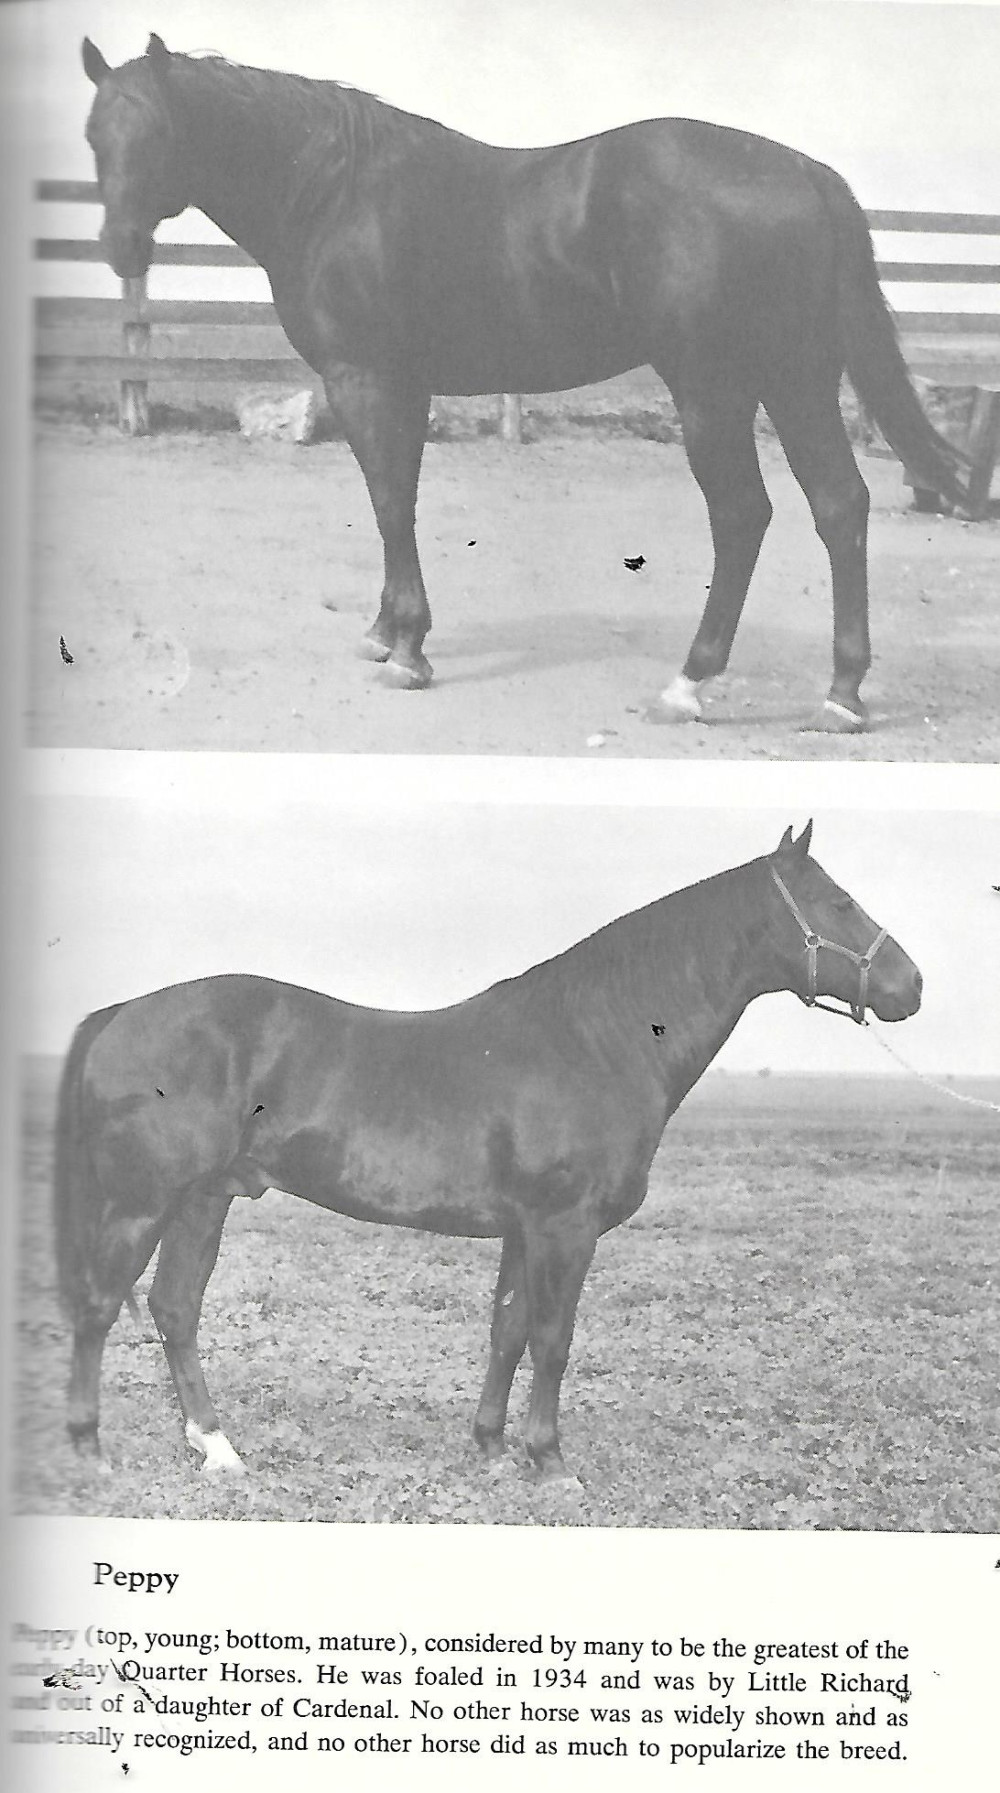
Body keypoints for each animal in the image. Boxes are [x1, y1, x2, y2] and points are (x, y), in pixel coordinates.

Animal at [54, 823, 922, 1482]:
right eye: (838, 900)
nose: (912, 985)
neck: (596, 1038)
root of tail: (120, 1011)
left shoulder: (523, 1228)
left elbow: (507, 1329)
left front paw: (493, 1447)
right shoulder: (564, 1227)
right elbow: (553, 1339)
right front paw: (553, 1462)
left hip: (203, 1199)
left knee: (174, 1308)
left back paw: (219, 1450)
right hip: (142, 1203)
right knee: (99, 1306)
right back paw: (90, 1452)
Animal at [81, 35, 968, 734]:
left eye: (159, 130)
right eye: (94, 133)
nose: (121, 248)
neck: (335, 192)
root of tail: (805, 173)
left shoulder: (367, 379)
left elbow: (389, 501)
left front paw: (407, 649)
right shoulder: (403, 386)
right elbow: (395, 499)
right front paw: (385, 629)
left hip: (714, 391)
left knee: (745, 514)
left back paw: (690, 682)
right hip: (793, 381)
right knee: (839, 506)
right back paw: (843, 693)